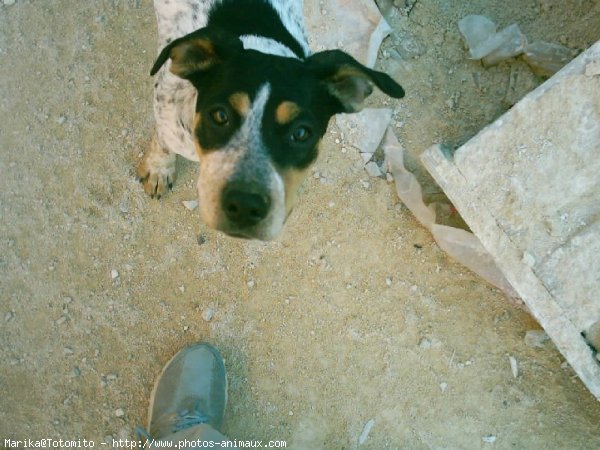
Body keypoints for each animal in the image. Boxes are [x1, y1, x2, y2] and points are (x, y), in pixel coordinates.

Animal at [138, 0, 406, 241]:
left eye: (301, 133)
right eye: (220, 115)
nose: (245, 206)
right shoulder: (167, 116)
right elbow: (163, 142)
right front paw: (159, 169)